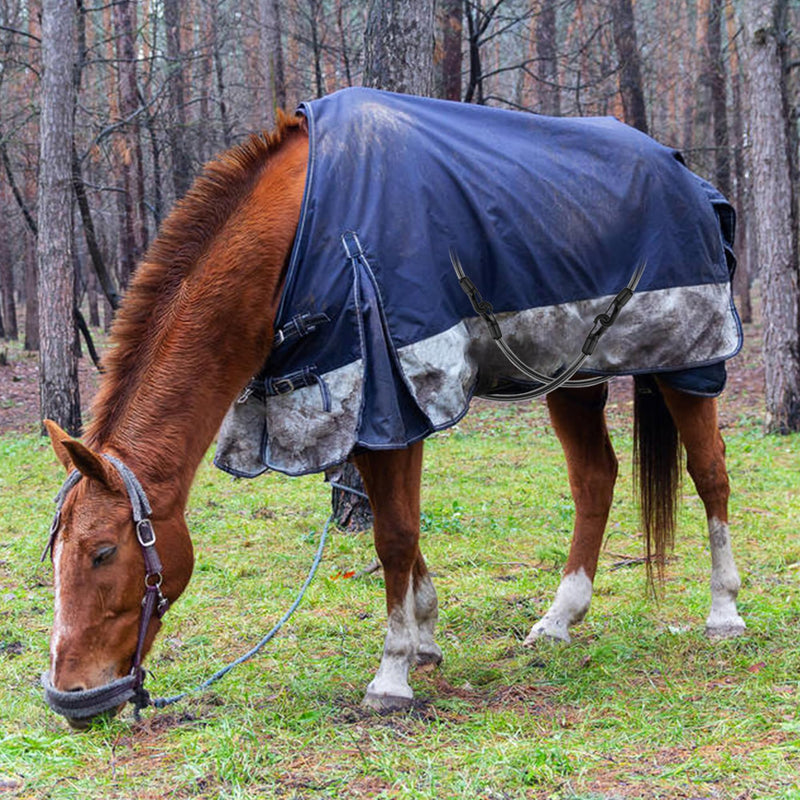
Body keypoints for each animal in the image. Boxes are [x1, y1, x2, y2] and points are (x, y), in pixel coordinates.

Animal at [41, 88, 745, 727]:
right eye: (54, 555)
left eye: (103, 552)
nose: (73, 699)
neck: (304, 232)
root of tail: (685, 173)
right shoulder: (364, 414)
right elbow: (393, 525)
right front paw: (424, 638)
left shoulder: (394, 403)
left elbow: (395, 535)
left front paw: (392, 674)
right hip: (573, 374)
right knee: (595, 479)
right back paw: (558, 619)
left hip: (689, 358)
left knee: (710, 472)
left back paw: (724, 611)